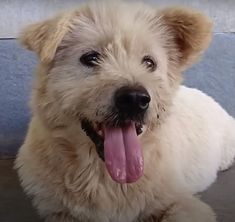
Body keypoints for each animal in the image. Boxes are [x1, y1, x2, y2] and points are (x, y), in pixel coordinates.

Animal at [14, 0, 235, 221]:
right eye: (90, 58)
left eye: (149, 62)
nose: (134, 99)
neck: (106, 176)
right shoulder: (57, 211)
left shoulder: (183, 203)